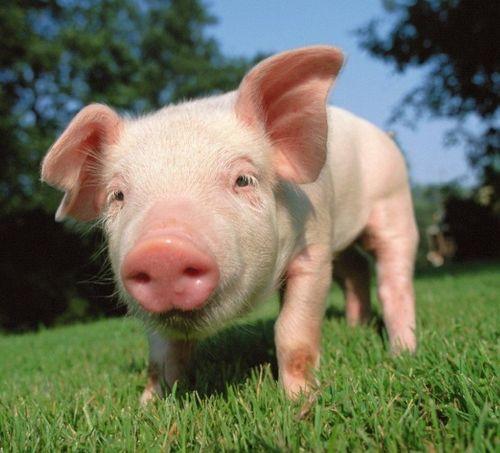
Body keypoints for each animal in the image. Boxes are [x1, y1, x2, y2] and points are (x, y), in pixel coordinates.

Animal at [41, 46, 418, 403]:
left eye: (243, 180)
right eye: (117, 195)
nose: (163, 250)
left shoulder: (314, 247)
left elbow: (293, 331)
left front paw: (300, 400)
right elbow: (162, 354)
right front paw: (147, 405)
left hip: (394, 200)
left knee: (392, 276)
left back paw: (402, 352)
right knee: (356, 270)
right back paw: (355, 329)